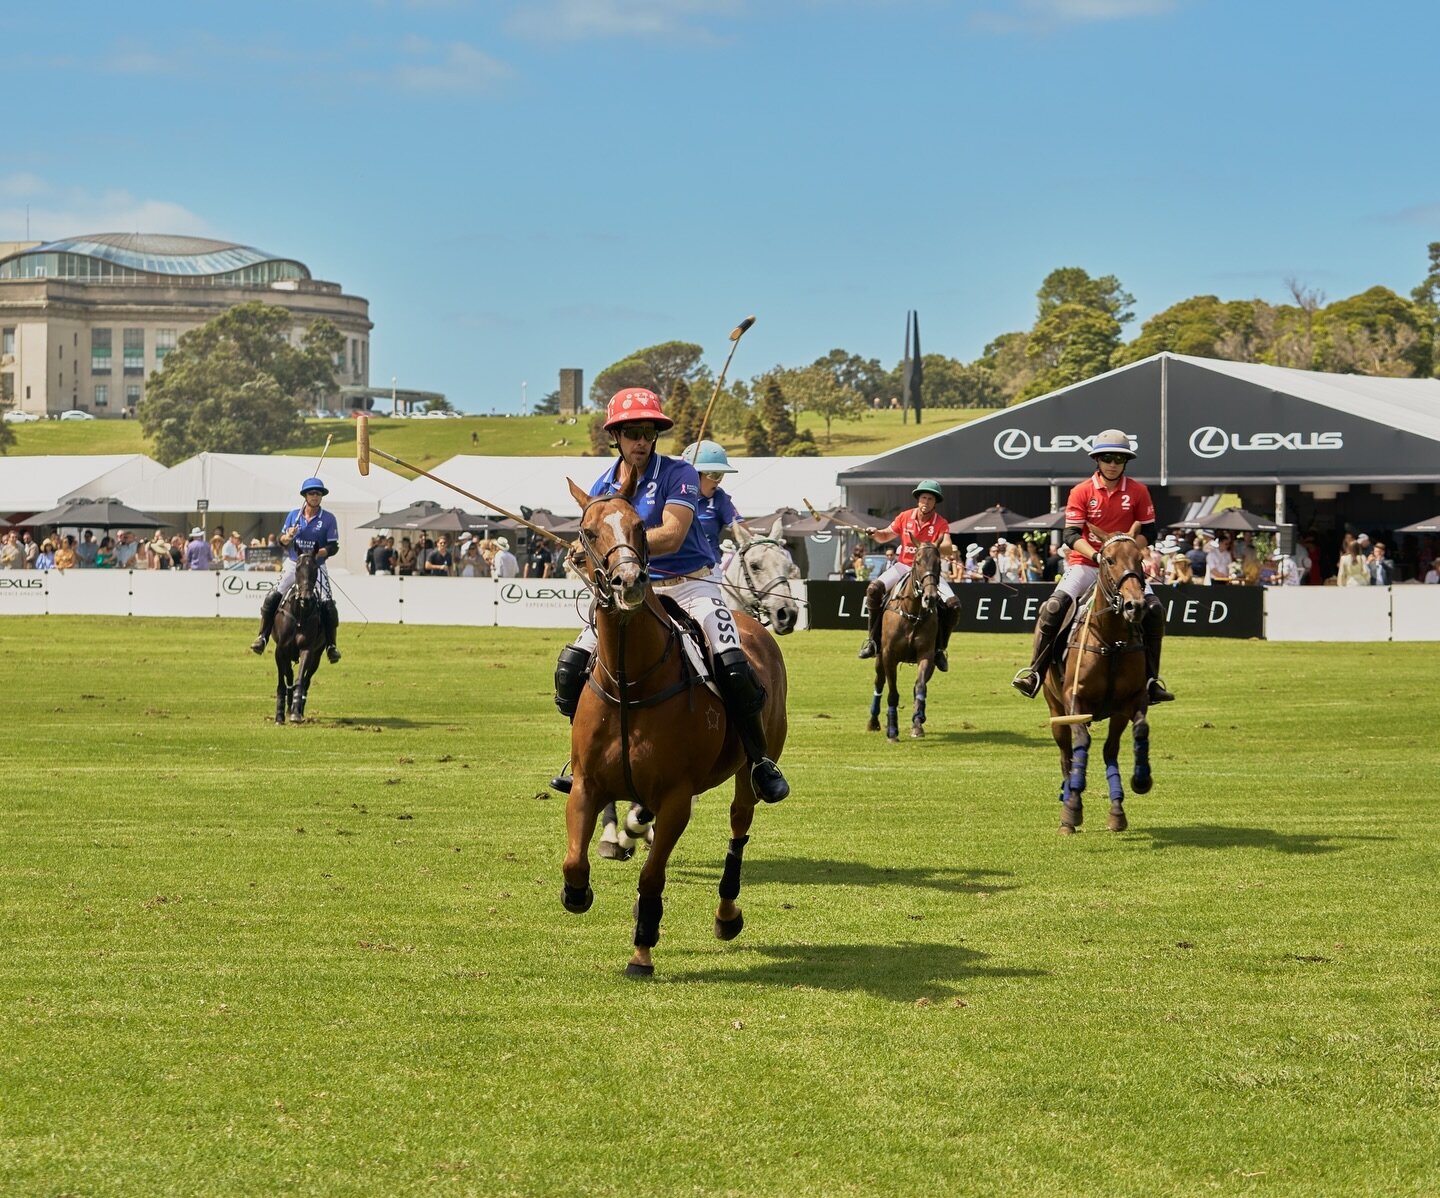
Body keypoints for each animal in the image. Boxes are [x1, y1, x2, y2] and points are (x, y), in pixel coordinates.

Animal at [558, 463, 789, 979]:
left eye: (641, 527)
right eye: (587, 531)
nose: (628, 583)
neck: (631, 681)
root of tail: (752, 626)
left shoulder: (677, 796)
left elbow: (651, 875)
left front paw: (642, 950)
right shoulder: (585, 783)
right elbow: (574, 862)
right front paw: (579, 893)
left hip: (752, 768)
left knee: (739, 829)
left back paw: (727, 915)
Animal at [864, 541, 944, 737]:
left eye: (939, 563)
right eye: (917, 561)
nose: (930, 597)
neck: (913, 613)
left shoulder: (926, 654)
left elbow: (920, 687)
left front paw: (917, 722)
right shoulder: (889, 655)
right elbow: (892, 693)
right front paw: (892, 729)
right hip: (879, 657)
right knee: (879, 683)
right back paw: (873, 721)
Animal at [1042, 532, 1152, 835]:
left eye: (1140, 558)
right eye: (1109, 559)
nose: (1135, 605)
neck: (1112, 641)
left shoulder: (1129, 701)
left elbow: (1128, 738)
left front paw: (1134, 788)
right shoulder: (1074, 699)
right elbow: (1082, 741)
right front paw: (1072, 809)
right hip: (1055, 708)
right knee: (1066, 754)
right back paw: (1068, 796)